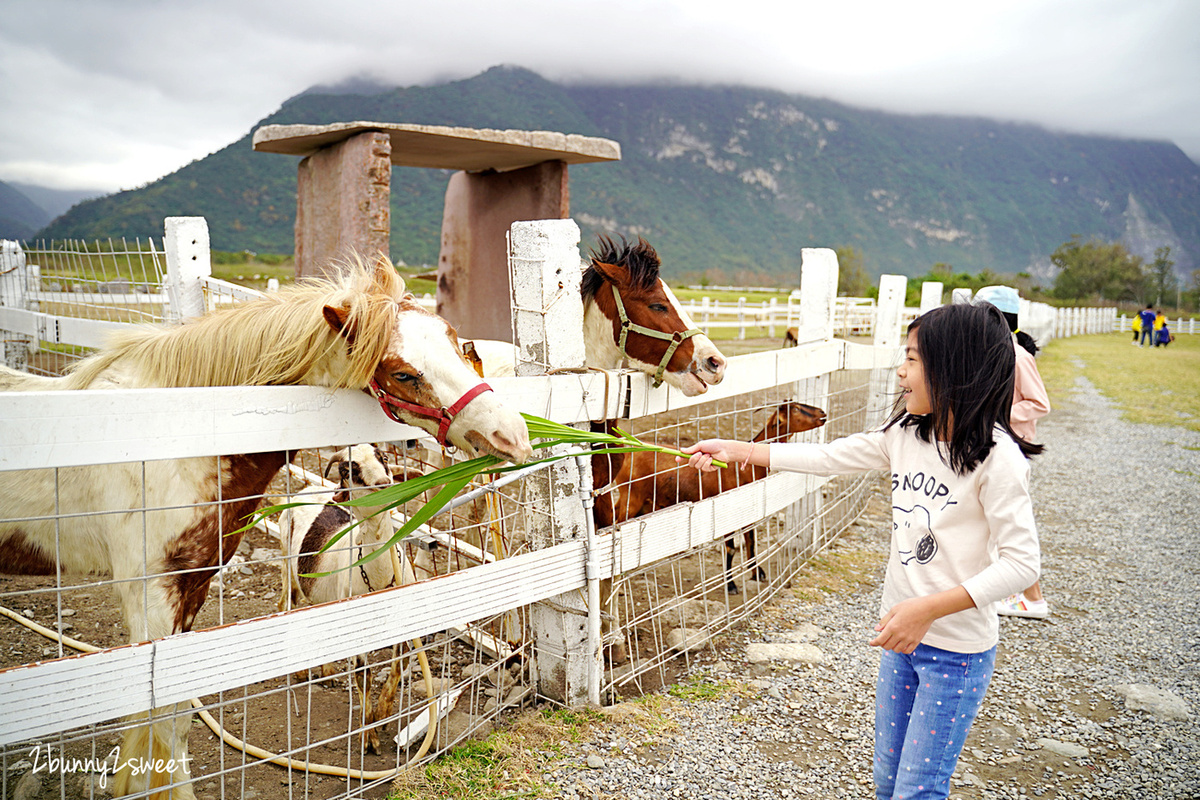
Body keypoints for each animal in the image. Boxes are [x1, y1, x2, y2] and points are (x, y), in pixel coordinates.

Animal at [0, 257, 530, 800]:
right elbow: (162, 725)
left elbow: (174, 723)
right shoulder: (147, 595)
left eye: (456, 340)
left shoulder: (191, 587)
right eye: (402, 372)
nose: (514, 436)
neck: (171, 435)